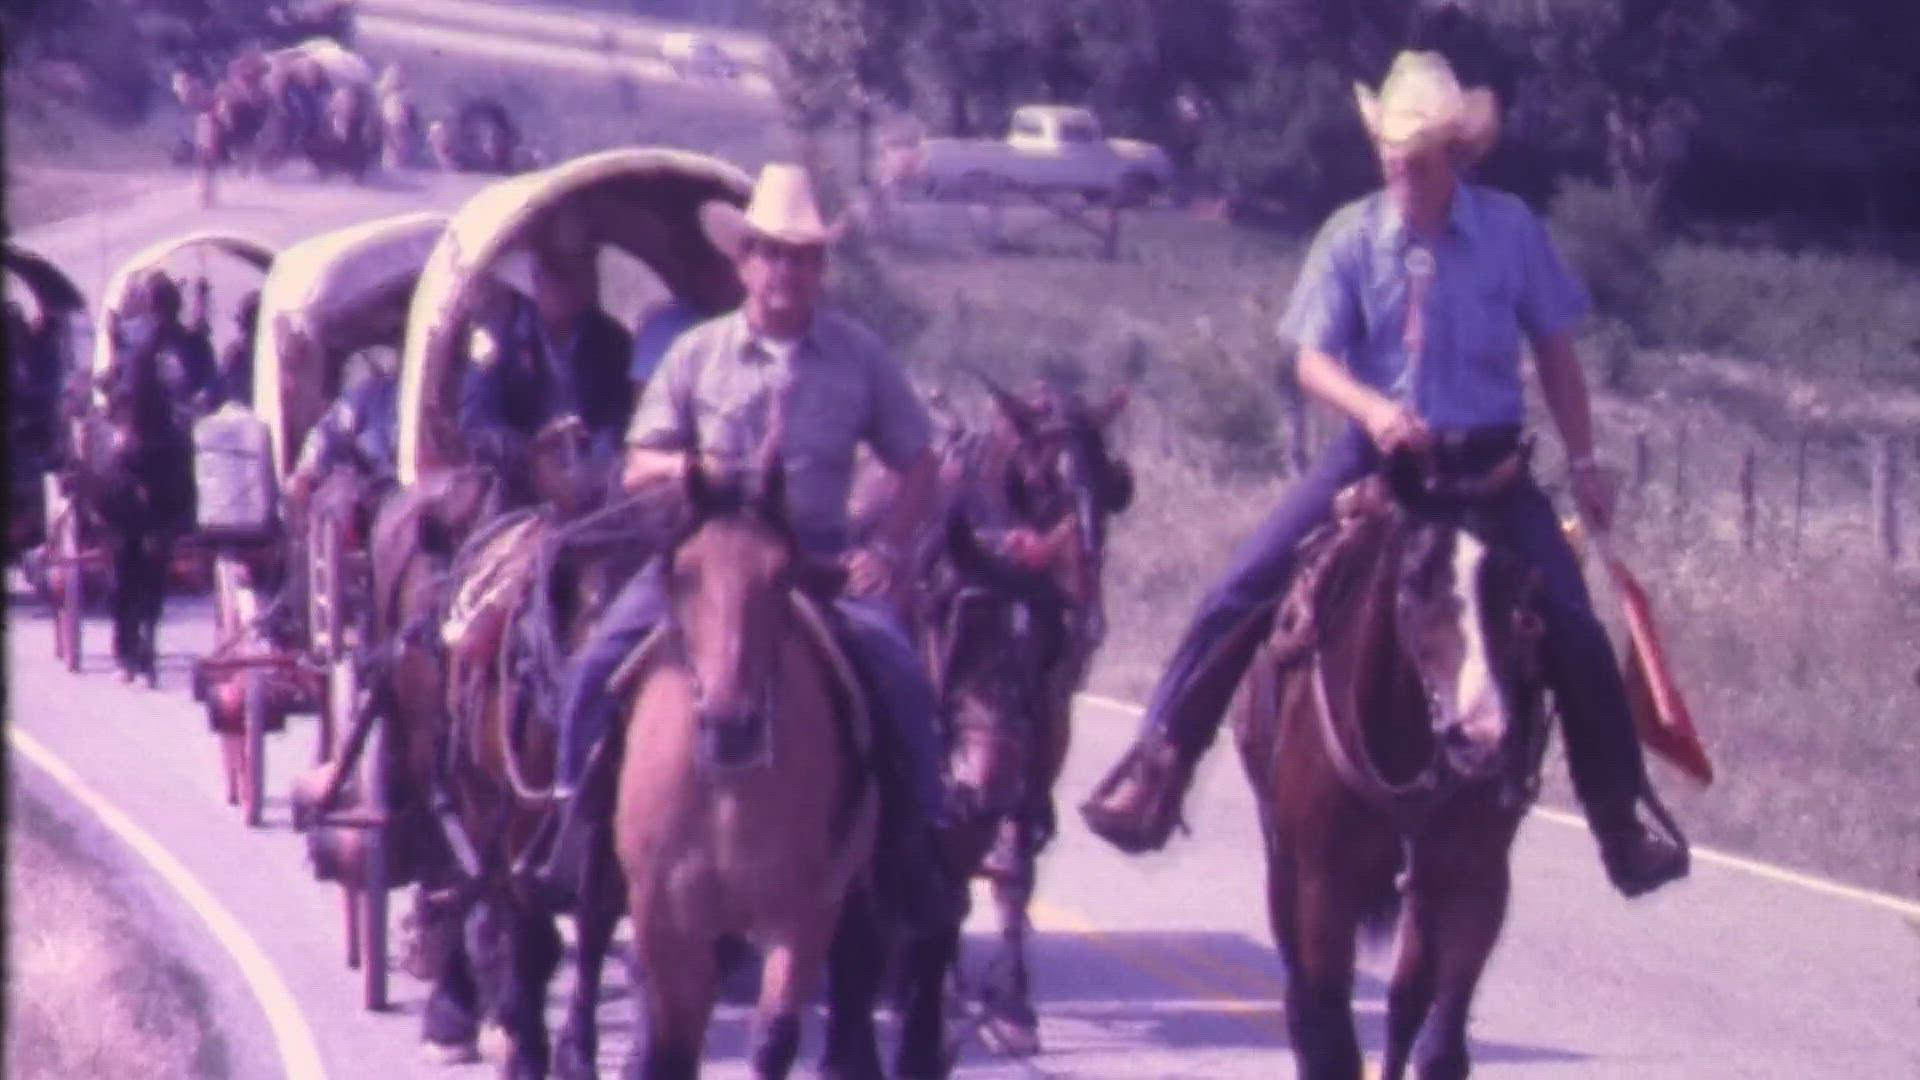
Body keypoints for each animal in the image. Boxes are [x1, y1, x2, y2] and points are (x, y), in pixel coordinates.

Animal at [606, 455, 921, 1076]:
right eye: (684, 574)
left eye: (781, 577)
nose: (732, 728)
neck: (726, 792)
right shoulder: (664, 922)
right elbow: (672, 1047)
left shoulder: (801, 914)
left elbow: (774, 1039)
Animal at [1228, 449, 1559, 1068]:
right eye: (1418, 577)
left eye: (1516, 580)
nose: (1483, 737)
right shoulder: (1323, 884)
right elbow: (1329, 1037)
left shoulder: (1472, 880)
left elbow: (1440, 1040)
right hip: (1283, 863)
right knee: (1303, 1001)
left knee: (1406, 1002)